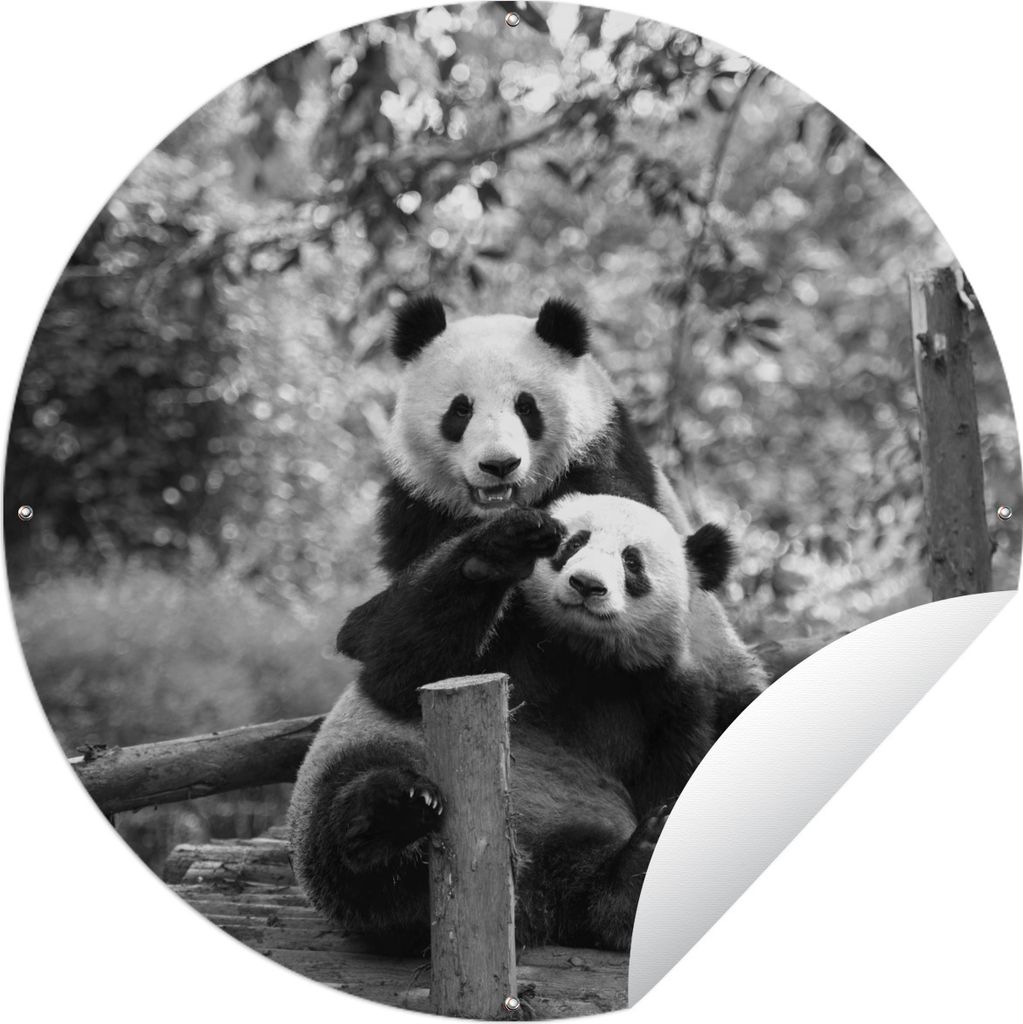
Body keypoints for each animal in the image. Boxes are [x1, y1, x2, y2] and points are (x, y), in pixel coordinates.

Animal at [290, 494, 757, 953]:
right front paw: (498, 552)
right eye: (573, 543)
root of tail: (521, 885)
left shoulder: (664, 694)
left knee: (587, 889)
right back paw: (394, 814)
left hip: (576, 827)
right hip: (367, 763)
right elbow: (397, 667)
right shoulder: (509, 633)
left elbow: (676, 770)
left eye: (632, 562)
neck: (580, 652)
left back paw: (634, 871)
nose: (586, 584)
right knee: (348, 826)